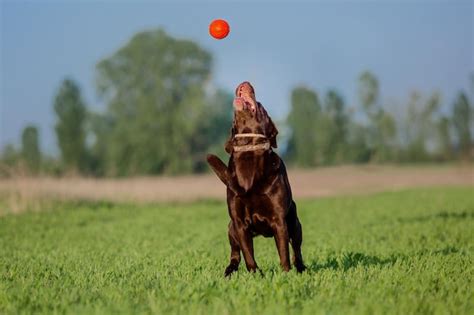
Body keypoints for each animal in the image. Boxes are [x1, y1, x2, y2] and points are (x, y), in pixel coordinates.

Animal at [206, 81, 304, 276]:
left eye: (260, 106)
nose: (245, 83)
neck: (248, 155)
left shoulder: (279, 220)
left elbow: (284, 253)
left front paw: (286, 276)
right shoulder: (239, 223)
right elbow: (248, 255)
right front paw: (257, 276)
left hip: (295, 223)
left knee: (296, 249)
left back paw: (301, 268)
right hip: (230, 228)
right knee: (235, 254)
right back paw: (229, 271)